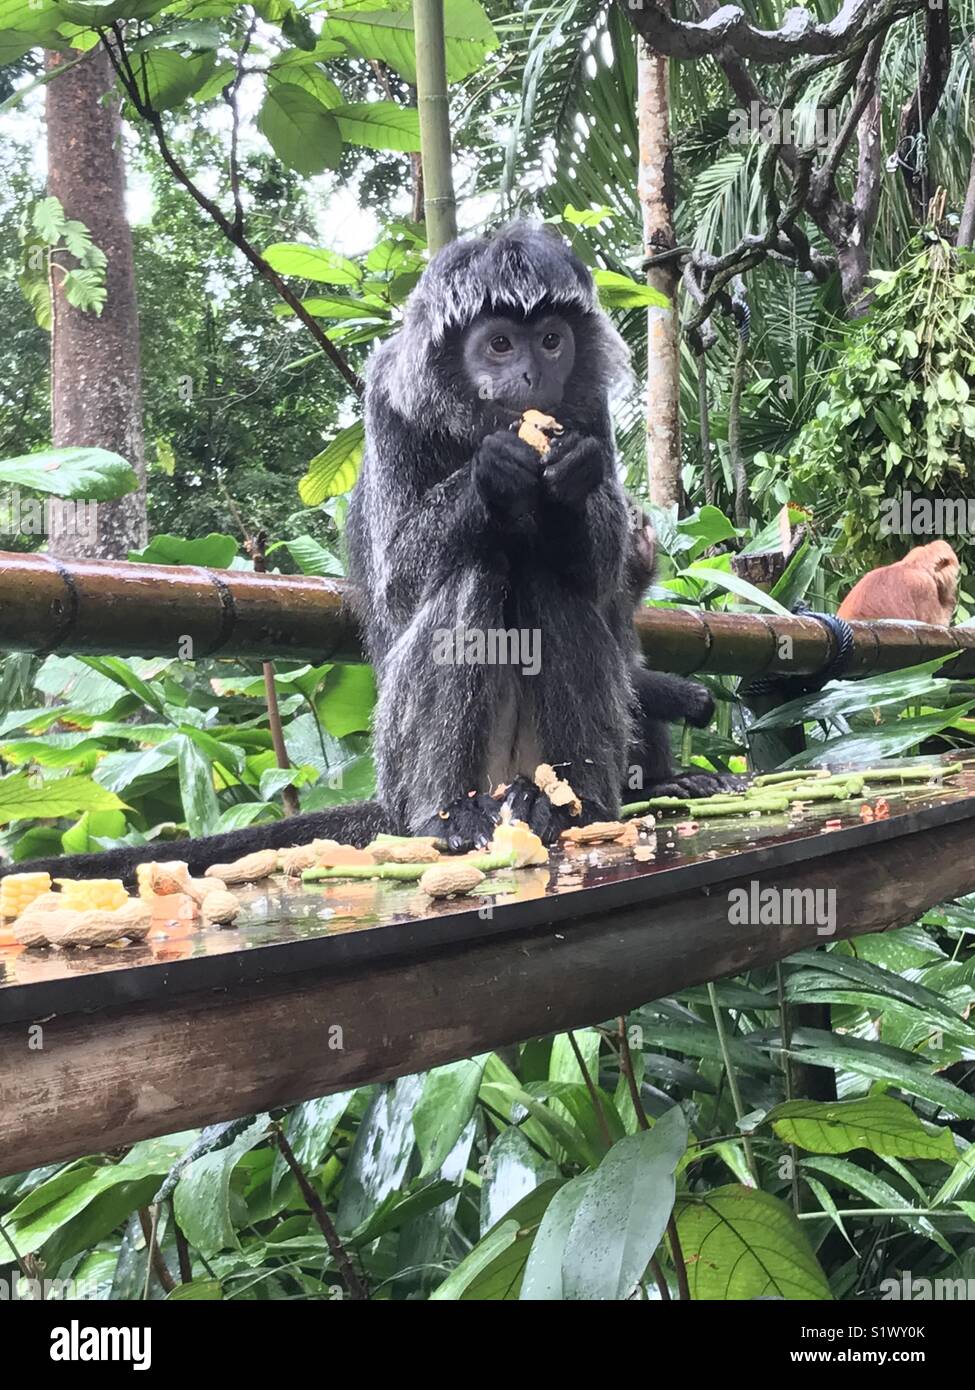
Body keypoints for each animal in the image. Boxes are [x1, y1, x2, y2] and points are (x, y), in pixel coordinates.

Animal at [4, 222, 740, 882]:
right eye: (500, 344)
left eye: (552, 341)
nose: (533, 374)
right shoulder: (388, 396)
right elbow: (398, 586)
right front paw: (490, 471)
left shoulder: (588, 408)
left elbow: (593, 573)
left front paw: (571, 473)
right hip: (399, 763)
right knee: (477, 570)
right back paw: (452, 814)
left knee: (549, 579)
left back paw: (571, 804)